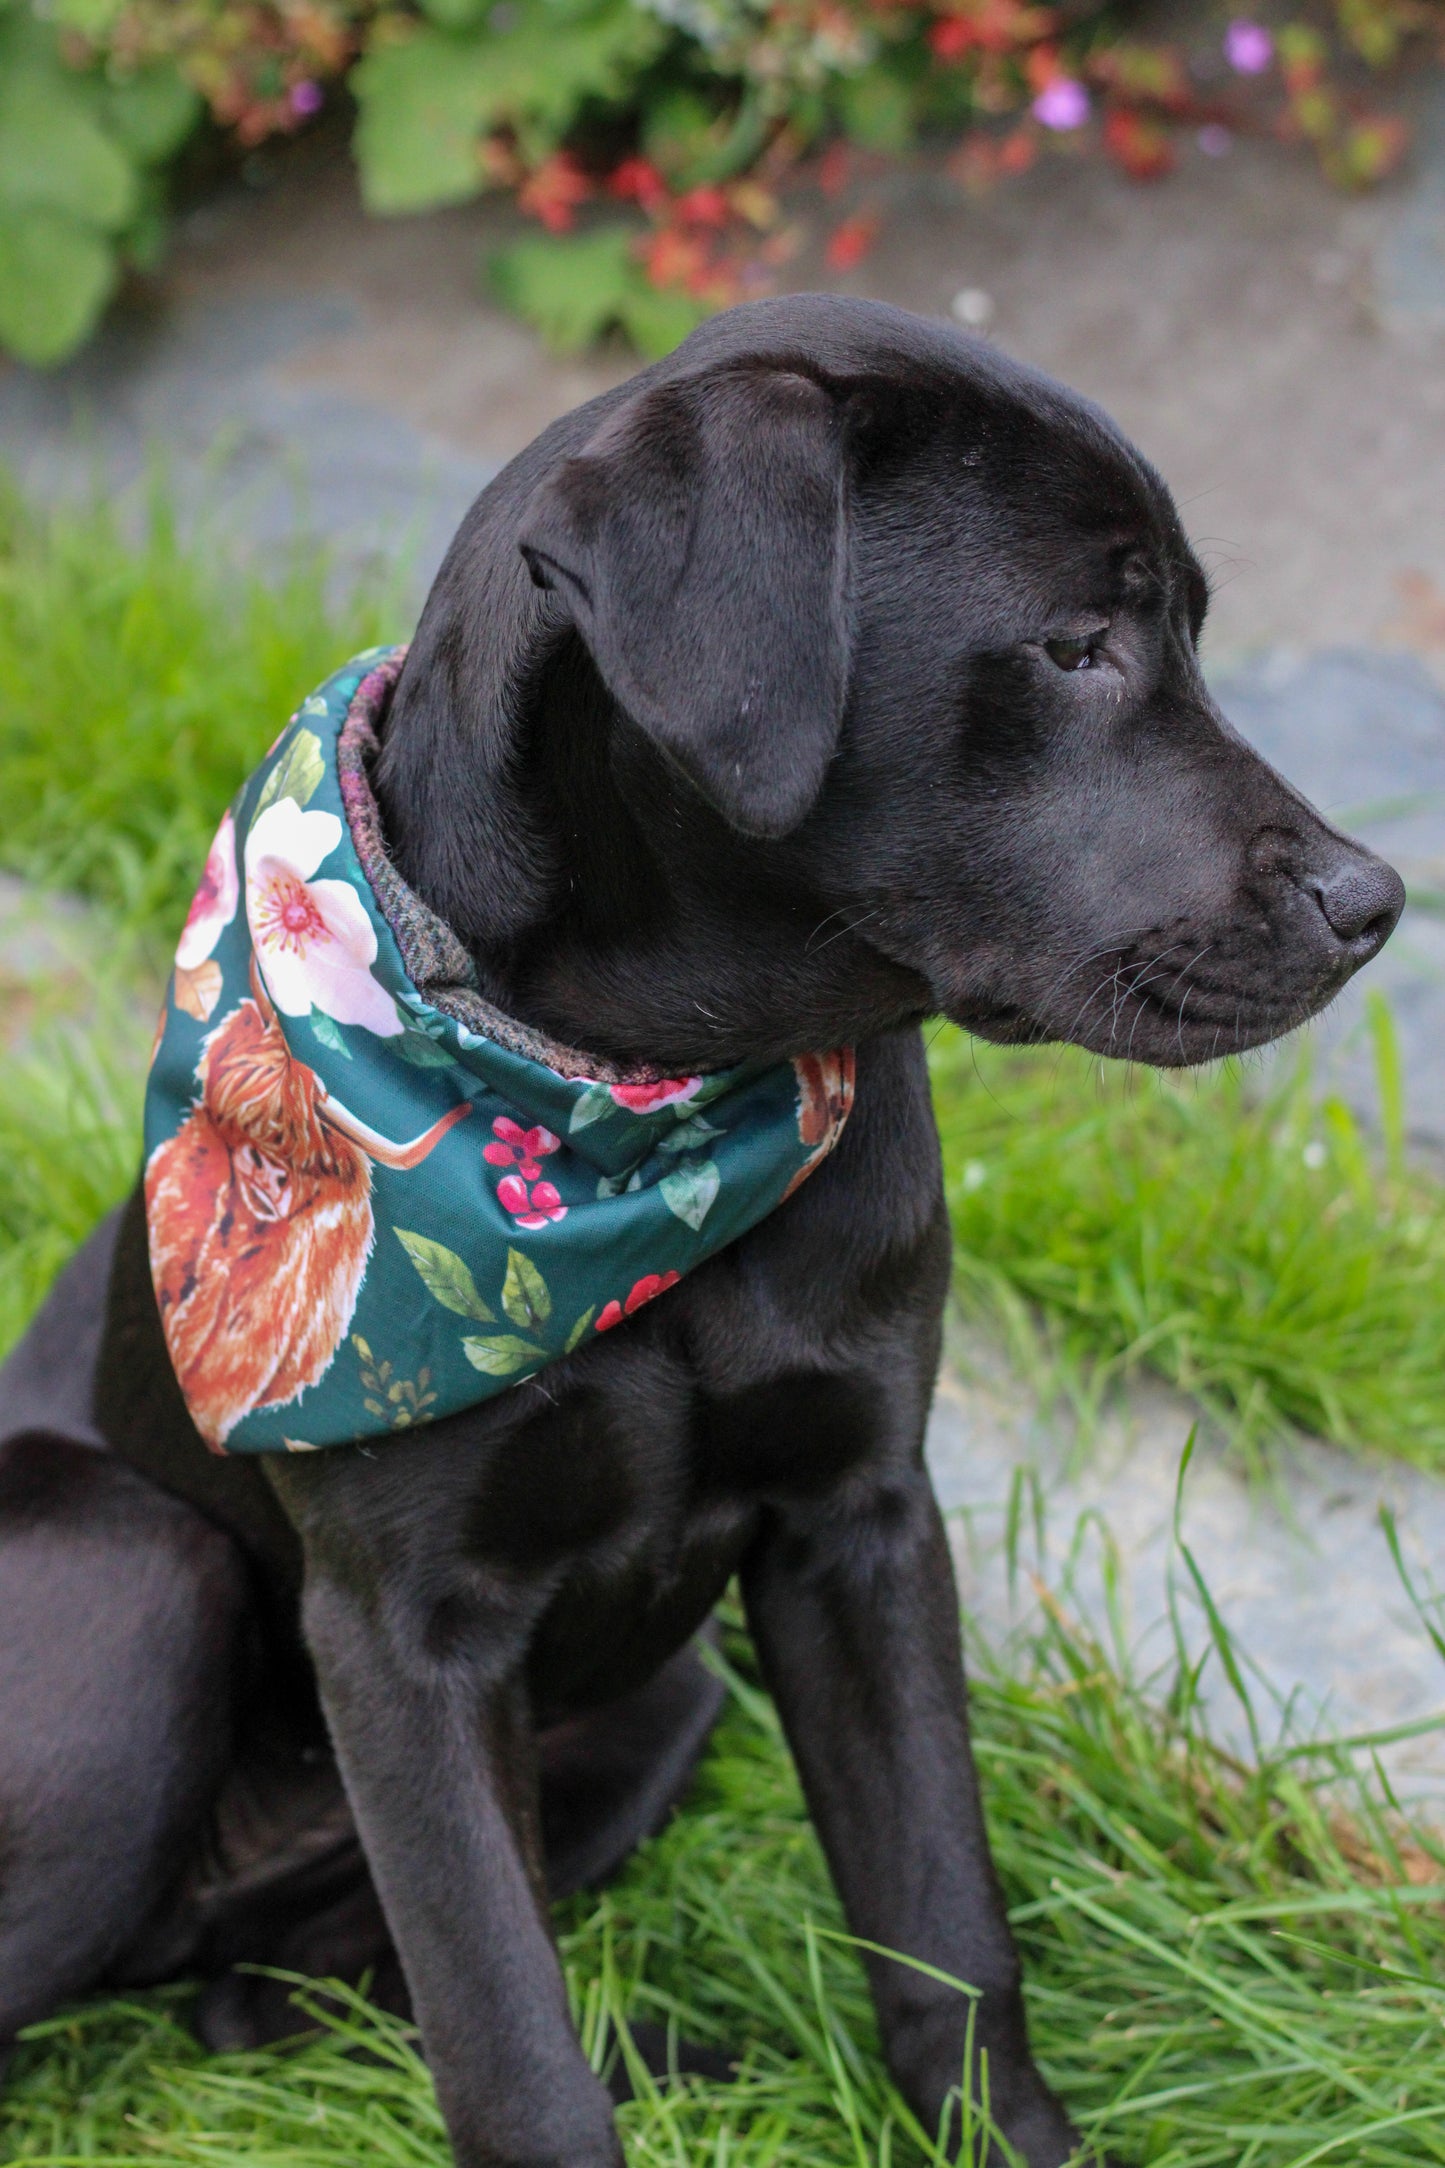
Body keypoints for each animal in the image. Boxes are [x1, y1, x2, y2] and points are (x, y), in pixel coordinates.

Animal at [0, 297, 1403, 2159]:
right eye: (1075, 643)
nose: (1374, 900)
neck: (637, 1111)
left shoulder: (859, 1519)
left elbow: (943, 1919)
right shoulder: (404, 1640)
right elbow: (512, 2052)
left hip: (667, 1697)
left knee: (264, 1999)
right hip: (134, 1570)